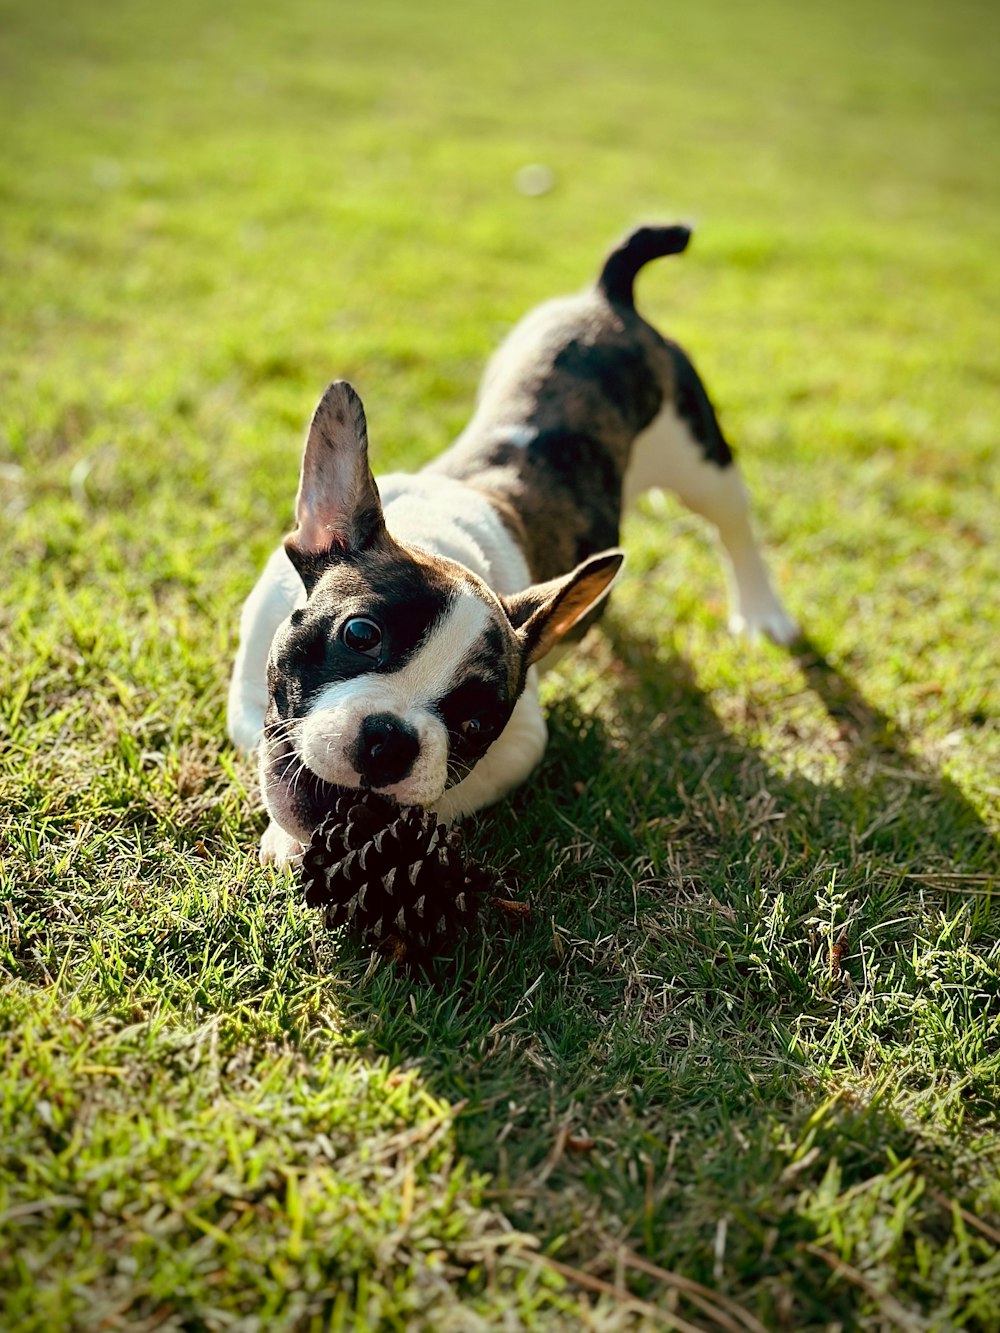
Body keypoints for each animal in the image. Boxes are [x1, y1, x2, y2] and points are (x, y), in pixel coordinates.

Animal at [226, 223, 800, 869]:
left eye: (477, 723)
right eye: (360, 634)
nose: (390, 739)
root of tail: (609, 299)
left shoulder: (517, 747)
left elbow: (443, 797)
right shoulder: (248, 685)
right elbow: (265, 747)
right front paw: (289, 831)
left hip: (700, 459)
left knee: (734, 525)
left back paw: (762, 612)